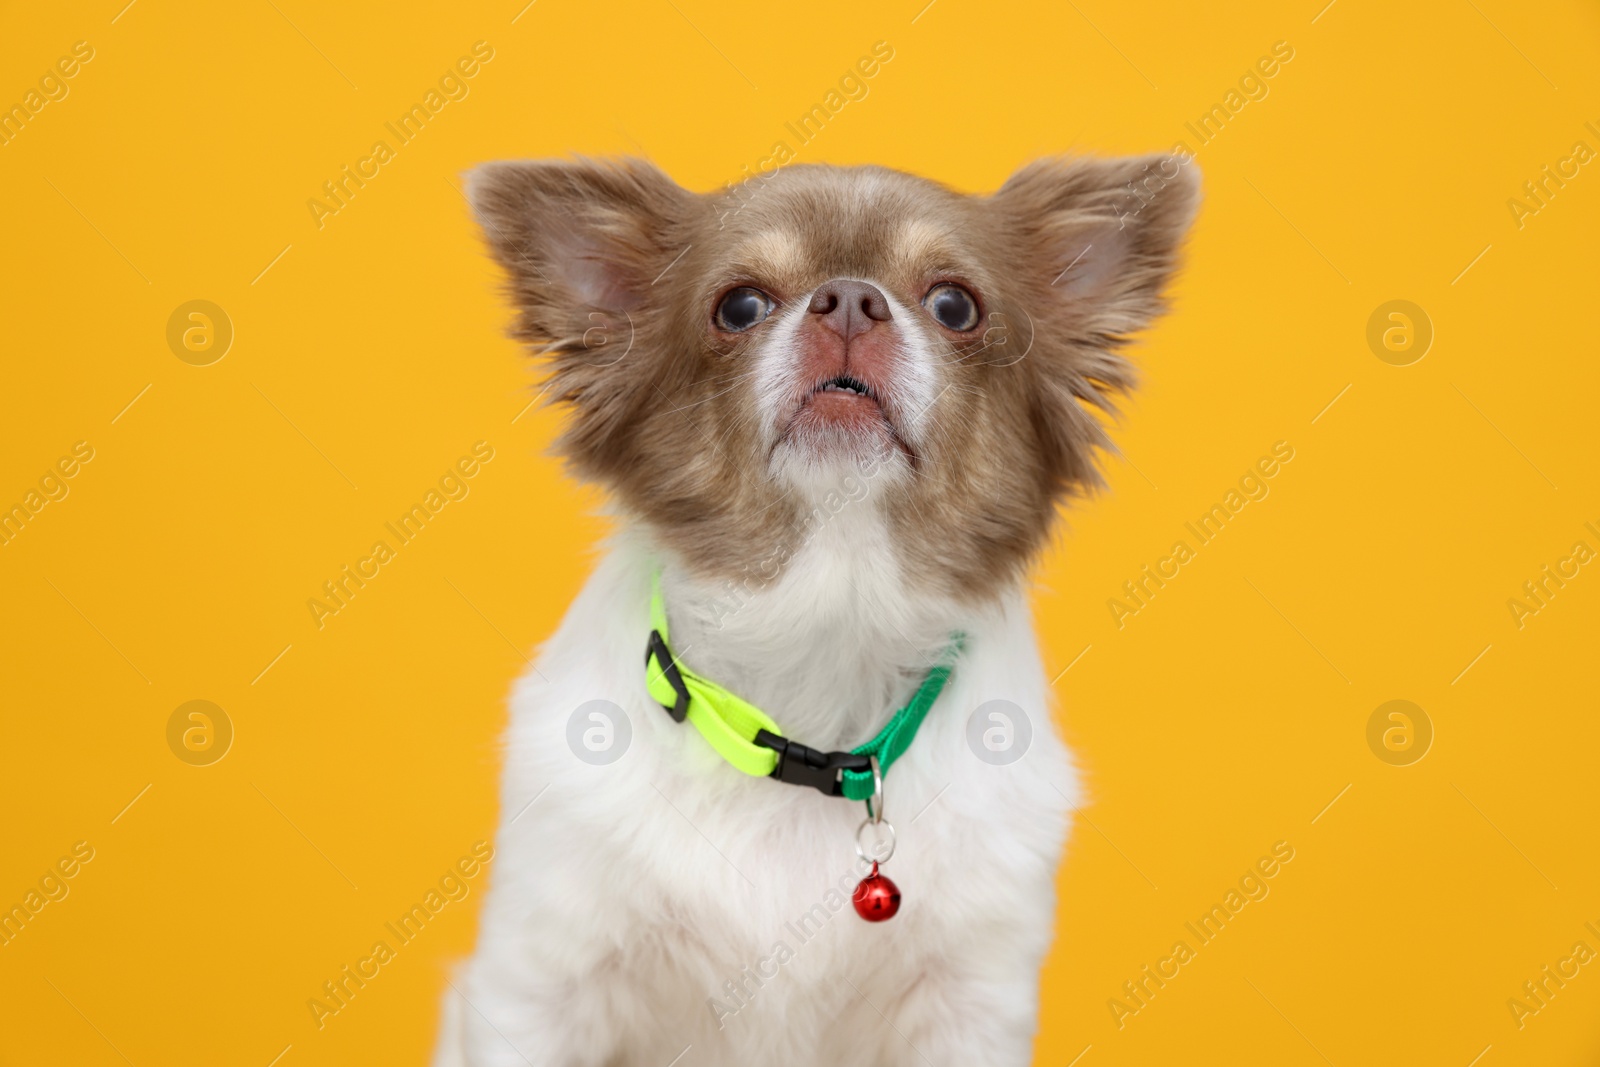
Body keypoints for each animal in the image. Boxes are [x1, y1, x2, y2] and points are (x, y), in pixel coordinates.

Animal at [438, 151, 1203, 1067]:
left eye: (955, 305)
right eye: (739, 306)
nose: (849, 298)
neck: (823, 627)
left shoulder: (969, 1008)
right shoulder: (539, 986)